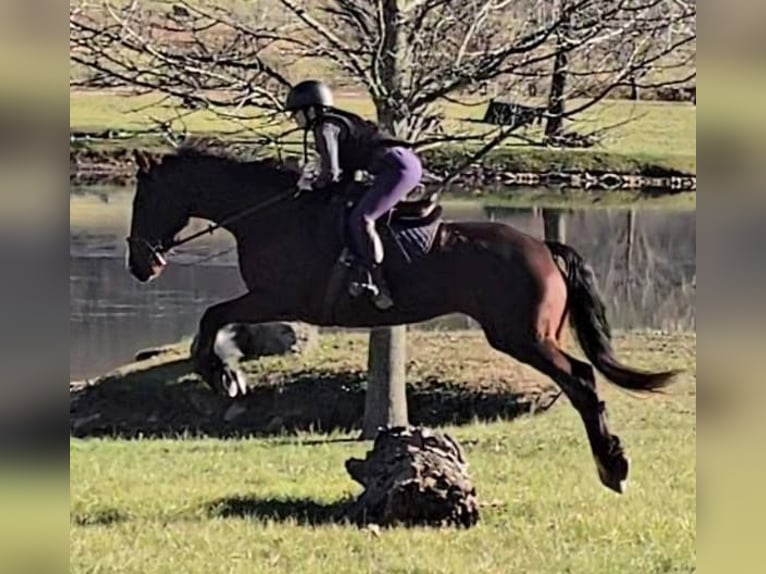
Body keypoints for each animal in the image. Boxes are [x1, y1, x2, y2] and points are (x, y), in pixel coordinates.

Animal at [126, 145, 680, 494]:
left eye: (144, 200)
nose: (140, 265)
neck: (267, 216)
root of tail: (545, 247)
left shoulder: (278, 297)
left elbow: (213, 316)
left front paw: (223, 376)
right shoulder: (271, 300)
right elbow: (216, 319)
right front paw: (227, 373)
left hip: (521, 335)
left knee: (582, 379)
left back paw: (613, 467)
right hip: (527, 335)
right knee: (581, 379)